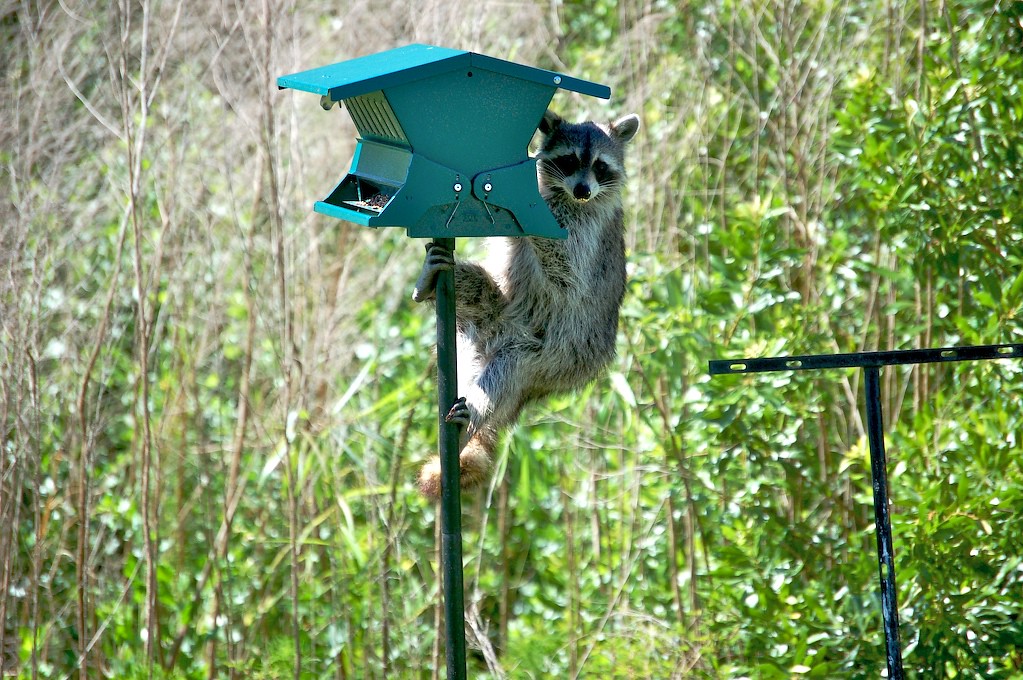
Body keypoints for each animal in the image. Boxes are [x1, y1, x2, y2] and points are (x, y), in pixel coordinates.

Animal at [413, 109, 640, 499]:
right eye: (570, 160)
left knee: (505, 375)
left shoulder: (587, 232)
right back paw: (431, 283)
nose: (583, 190)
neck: (566, 196)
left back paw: (474, 415)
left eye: (600, 166)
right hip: (488, 322)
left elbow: (569, 272)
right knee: (477, 287)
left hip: (555, 358)